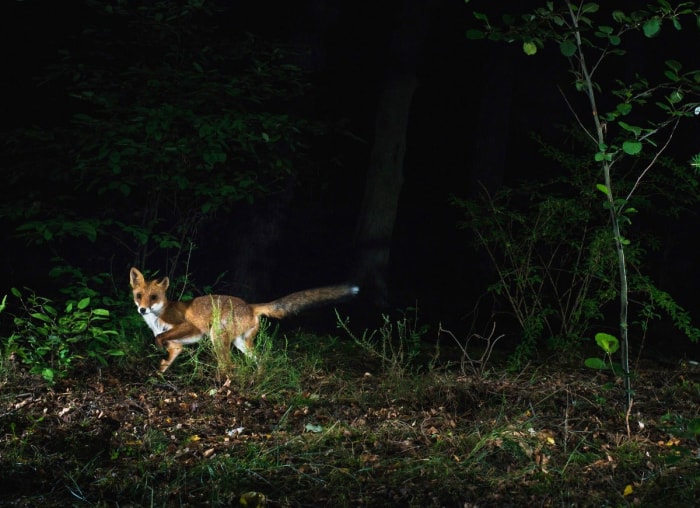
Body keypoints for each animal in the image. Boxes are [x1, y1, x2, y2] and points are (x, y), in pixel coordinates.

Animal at [131, 266, 358, 374]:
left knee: (229, 366)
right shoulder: (177, 347)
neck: (158, 318)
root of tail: (250, 305)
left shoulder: (188, 326)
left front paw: (157, 346)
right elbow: (163, 364)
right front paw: (157, 379)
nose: (142, 309)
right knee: (261, 360)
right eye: (139, 296)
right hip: (241, 342)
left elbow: (159, 339)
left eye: (153, 297)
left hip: (216, 337)